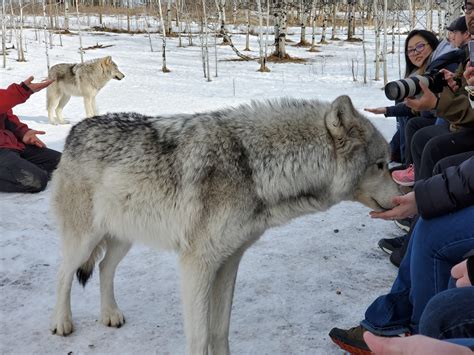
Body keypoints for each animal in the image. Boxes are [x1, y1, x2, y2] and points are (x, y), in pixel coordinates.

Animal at [51, 96, 400, 354]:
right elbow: (199, 337)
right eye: (381, 165)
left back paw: (110, 315)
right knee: (65, 274)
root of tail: (75, 130)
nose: (403, 194)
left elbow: (219, 331)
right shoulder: (196, 265)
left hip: (125, 237)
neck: (255, 168)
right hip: (84, 238)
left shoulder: (229, 261)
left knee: (105, 268)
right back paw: (62, 323)